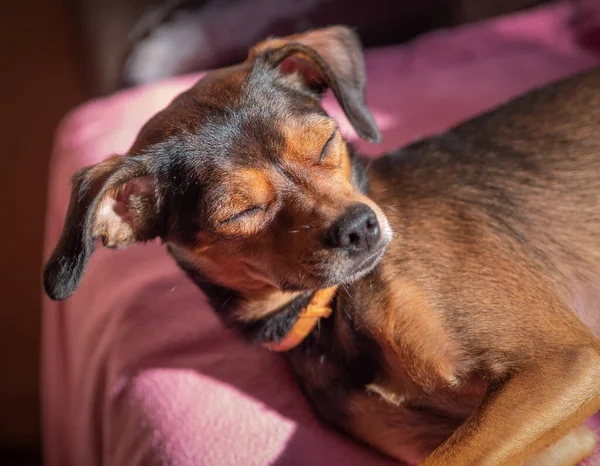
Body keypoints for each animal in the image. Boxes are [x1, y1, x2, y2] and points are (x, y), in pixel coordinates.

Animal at [44, 26, 600, 466]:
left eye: (327, 142)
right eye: (240, 212)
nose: (362, 227)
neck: (331, 310)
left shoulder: (564, 365)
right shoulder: (556, 443)